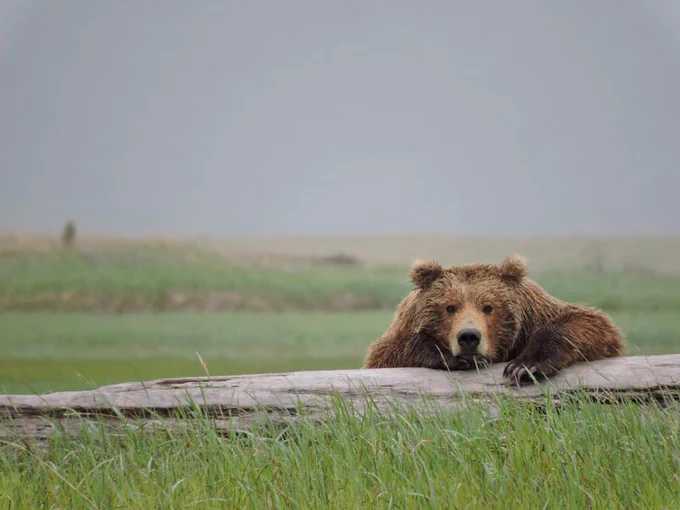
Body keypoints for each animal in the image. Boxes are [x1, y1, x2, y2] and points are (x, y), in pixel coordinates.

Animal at [363, 254, 624, 382]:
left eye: (488, 307)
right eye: (449, 307)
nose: (469, 337)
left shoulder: (535, 315)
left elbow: (589, 323)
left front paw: (524, 366)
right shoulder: (404, 327)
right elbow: (388, 352)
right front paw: (453, 356)